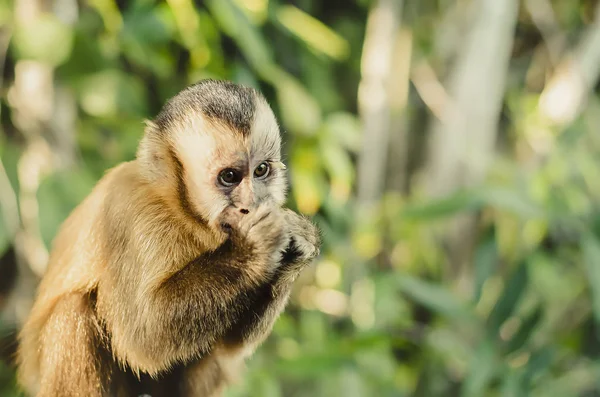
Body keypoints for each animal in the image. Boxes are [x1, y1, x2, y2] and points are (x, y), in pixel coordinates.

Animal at [16, 79, 322, 394]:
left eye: (261, 170)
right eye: (229, 176)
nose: (251, 204)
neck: (182, 211)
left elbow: (229, 345)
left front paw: (298, 245)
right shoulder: (131, 212)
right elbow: (144, 337)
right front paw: (253, 248)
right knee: (74, 307)